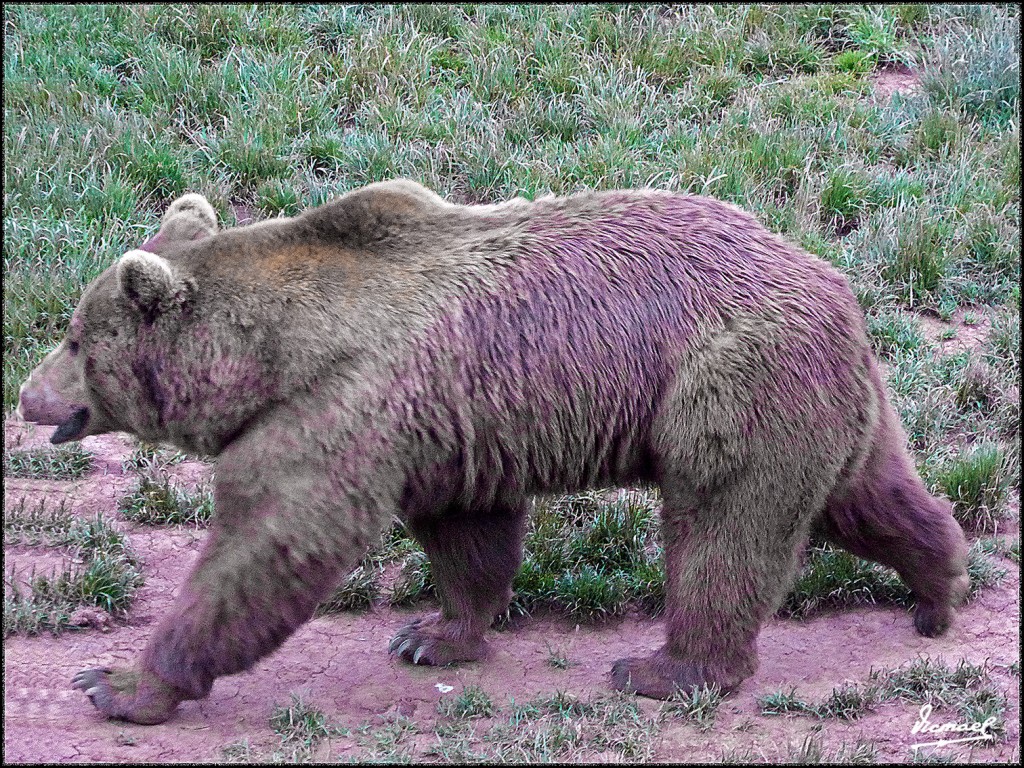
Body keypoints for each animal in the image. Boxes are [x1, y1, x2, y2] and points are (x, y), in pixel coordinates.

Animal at [19, 182, 970, 729]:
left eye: (74, 338)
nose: (27, 396)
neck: (269, 354)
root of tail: (836, 281)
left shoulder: (339, 406)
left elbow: (268, 545)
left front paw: (119, 682)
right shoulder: (442, 427)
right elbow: (468, 532)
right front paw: (433, 634)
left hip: (725, 380)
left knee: (721, 530)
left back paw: (666, 668)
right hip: (823, 398)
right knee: (870, 495)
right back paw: (939, 586)